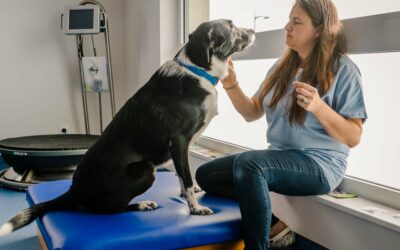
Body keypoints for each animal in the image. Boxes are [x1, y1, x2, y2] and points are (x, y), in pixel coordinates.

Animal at [0, 19, 255, 234]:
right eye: (231, 27)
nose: (253, 30)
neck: (197, 69)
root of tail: (74, 189)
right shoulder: (180, 141)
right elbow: (188, 178)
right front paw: (195, 208)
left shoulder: (179, 148)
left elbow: (182, 177)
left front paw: (184, 196)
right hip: (146, 170)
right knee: (105, 209)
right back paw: (141, 205)